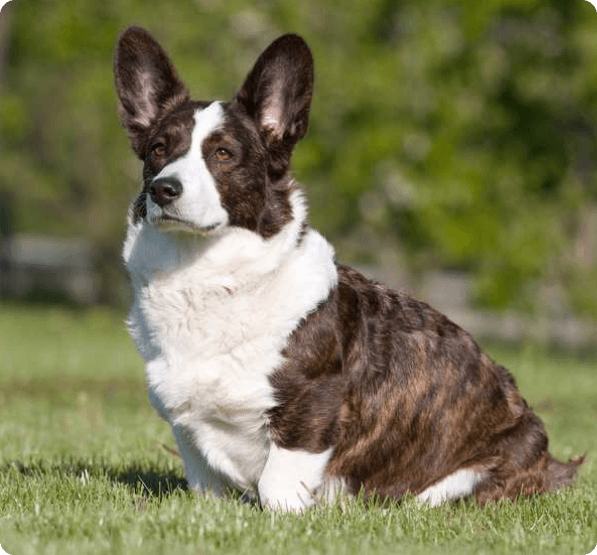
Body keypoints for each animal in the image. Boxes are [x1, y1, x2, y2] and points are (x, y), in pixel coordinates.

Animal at [114, 26, 580, 512]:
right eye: (158, 149)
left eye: (223, 154)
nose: (164, 189)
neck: (204, 275)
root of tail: (550, 461)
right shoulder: (188, 430)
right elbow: (206, 485)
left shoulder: (311, 409)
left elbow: (277, 486)